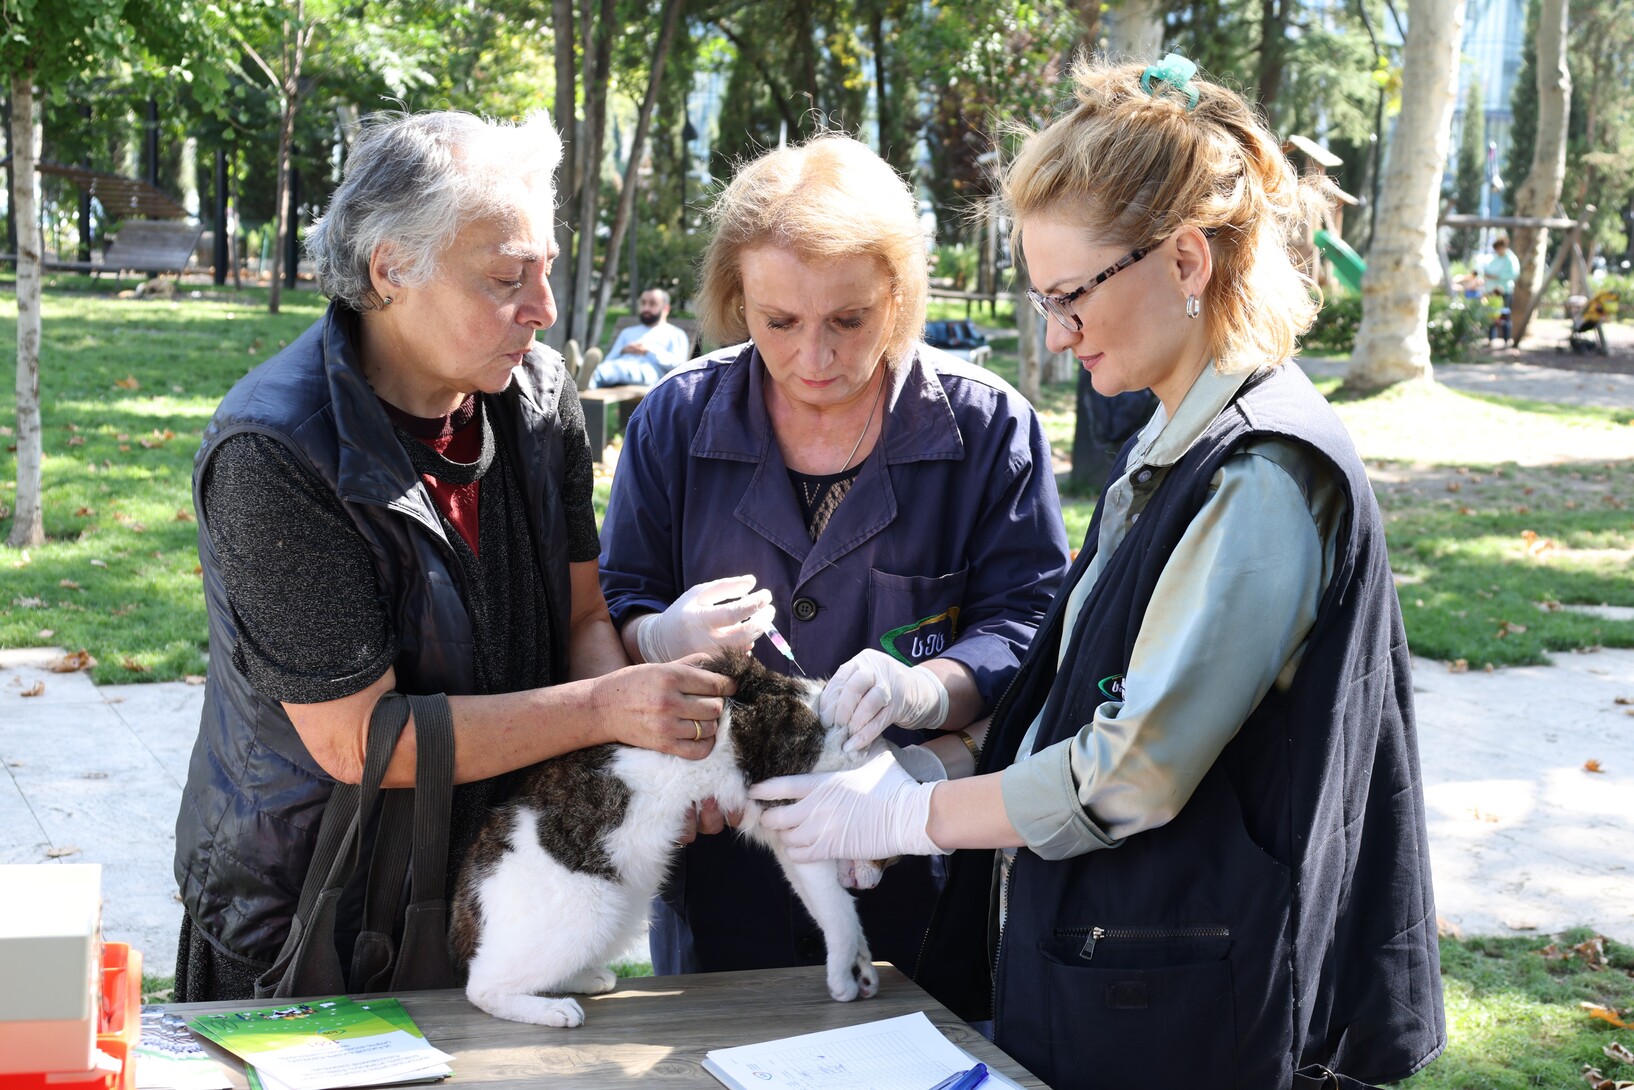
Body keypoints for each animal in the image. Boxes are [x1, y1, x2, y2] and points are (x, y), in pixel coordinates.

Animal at [447, 653, 882, 1026]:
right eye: (889, 857)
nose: (874, 882)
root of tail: (472, 883)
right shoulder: (794, 808)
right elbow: (838, 907)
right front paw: (845, 974)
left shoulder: (786, 831)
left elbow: (826, 904)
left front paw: (862, 966)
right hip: (589, 910)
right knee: (480, 986)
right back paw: (551, 1010)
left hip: (620, 909)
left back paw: (582, 980)